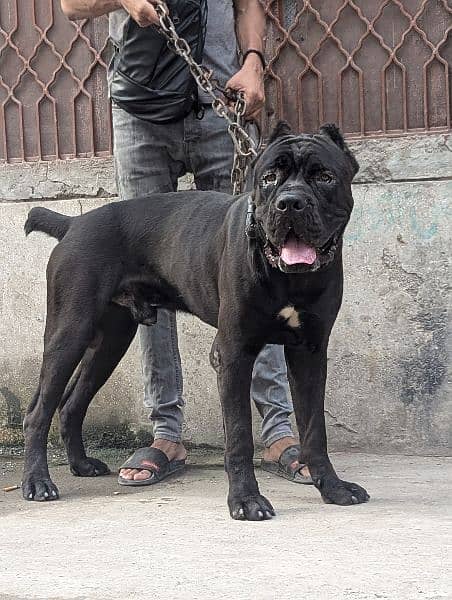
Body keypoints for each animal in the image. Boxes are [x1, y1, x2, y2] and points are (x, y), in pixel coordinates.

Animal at [23, 123, 370, 520]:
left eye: (325, 177)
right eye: (269, 178)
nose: (290, 202)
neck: (290, 277)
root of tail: (74, 222)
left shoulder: (310, 353)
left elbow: (315, 431)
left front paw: (334, 488)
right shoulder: (233, 354)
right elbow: (239, 436)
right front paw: (246, 499)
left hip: (110, 341)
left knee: (71, 403)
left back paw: (81, 464)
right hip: (69, 332)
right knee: (39, 410)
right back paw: (37, 482)